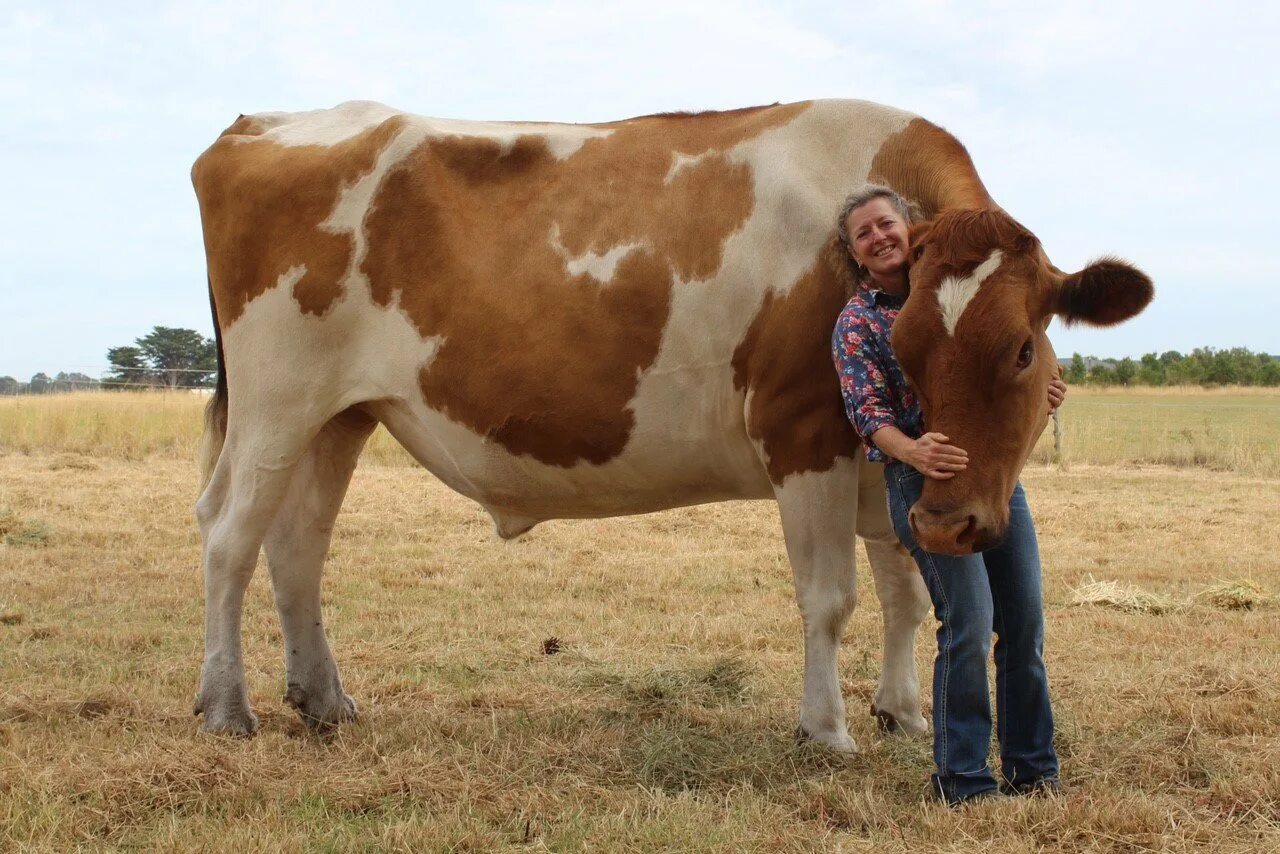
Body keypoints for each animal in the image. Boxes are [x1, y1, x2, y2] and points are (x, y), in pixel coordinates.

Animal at [186, 100, 1152, 752]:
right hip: (276, 400)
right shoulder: (805, 436)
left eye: (1022, 348)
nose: (954, 522)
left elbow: (906, 595)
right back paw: (227, 707)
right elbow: (830, 598)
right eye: (906, 346)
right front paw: (825, 730)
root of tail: (264, 123)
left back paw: (322, 699)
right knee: (229, 535)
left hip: (338, 415)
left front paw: (904, 712)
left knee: (298, 545)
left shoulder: (882, 467)